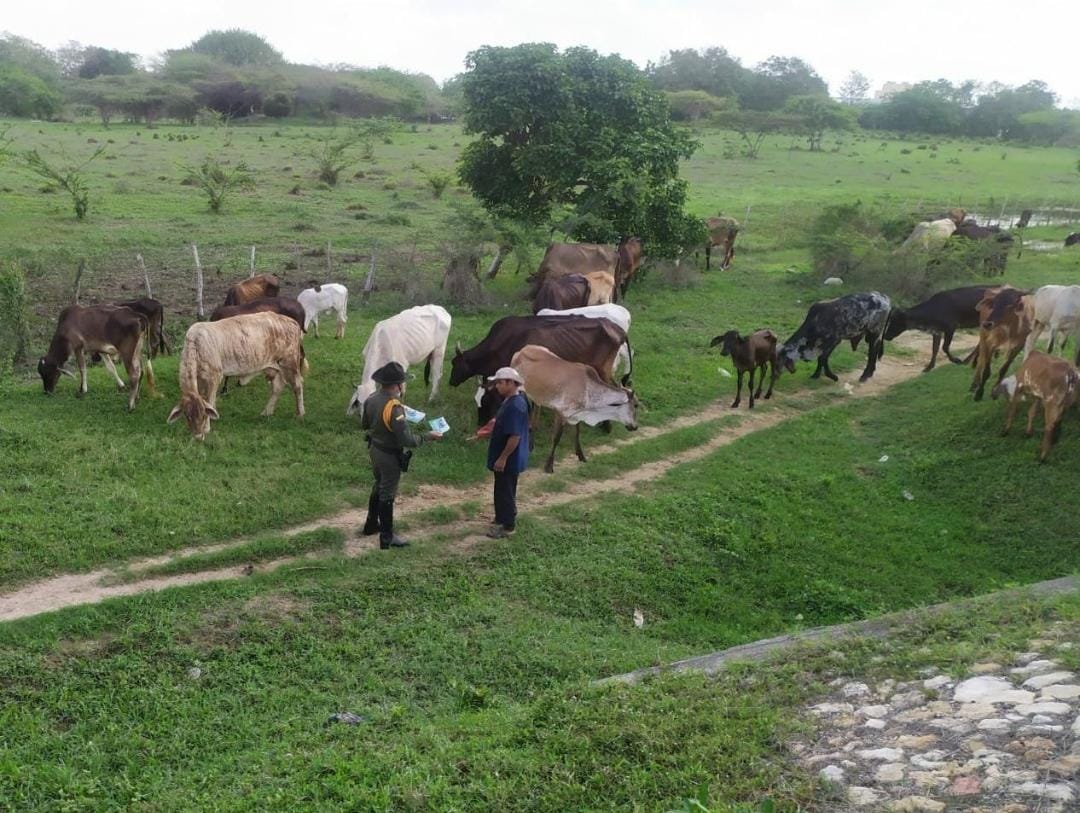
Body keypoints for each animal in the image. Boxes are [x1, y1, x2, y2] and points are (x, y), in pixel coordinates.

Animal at [166, 313, 308, 440]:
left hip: (289, 362)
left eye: (202, 414)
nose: (198, 437)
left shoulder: (214, 376)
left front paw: (207, 427)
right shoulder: (201, 379)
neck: (195, 346)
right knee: (278, 386)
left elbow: (209, 399)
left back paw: (300, 413)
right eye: (187, 416)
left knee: (297, 385)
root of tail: (292, 321)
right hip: (273, 367)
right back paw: (267, 412)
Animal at [509, 343, 635, 472]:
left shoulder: (577, 414)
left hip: (537, 395)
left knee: (535, 413)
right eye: (635, 405)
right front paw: (549, 465)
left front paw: (581, 455)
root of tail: (522, 350)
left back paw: (531, 443)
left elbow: (577, 433)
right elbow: (556, 437)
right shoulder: (560, 412)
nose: (635, 427)